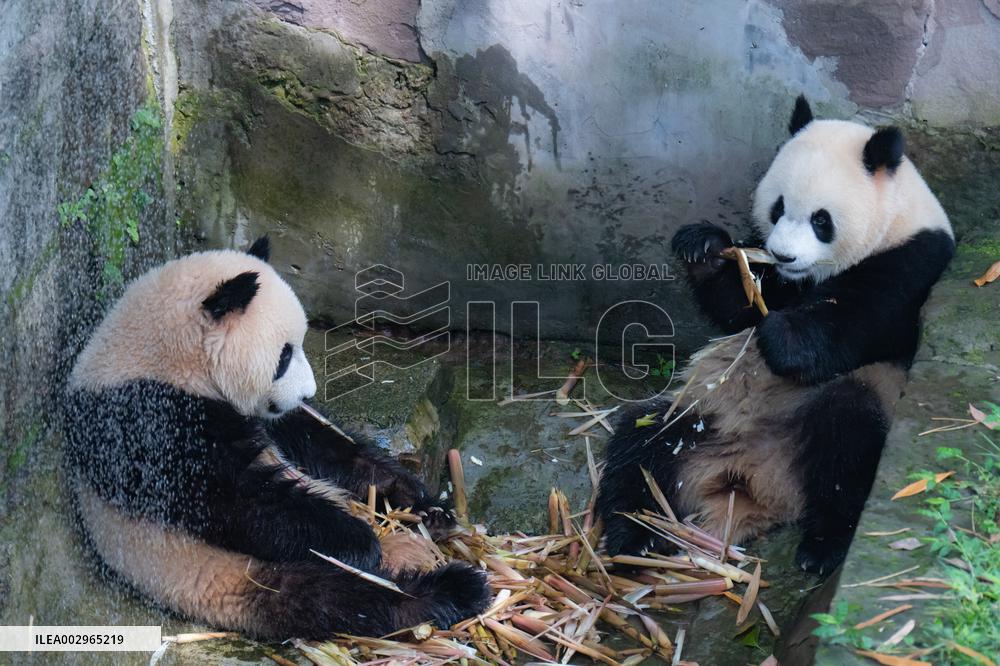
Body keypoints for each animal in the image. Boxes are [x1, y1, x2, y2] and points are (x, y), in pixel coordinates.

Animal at [64, 237, 491, 640]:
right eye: (284, 355)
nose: (307, 393)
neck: (164, 359)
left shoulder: (267, 417)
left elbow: (323, 446)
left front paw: (417, 499)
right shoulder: (146, 422)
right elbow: (236, 499)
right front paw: (358, 537)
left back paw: (430, 533)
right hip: (229, 575)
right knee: (338, 598)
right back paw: (447, 591)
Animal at [596, 96, 954, 574]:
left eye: (822, 219)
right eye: (777, 208)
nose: (784, 254)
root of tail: (752, 481)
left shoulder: (913, 262)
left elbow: (858, 320)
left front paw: (781, 336)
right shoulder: (780, 278)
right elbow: (741, 306)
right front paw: (705, 247)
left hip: (855, 399)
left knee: (849, 443)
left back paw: (822, 547)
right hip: (703, 419)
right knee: (640, 445)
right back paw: (634, 538)